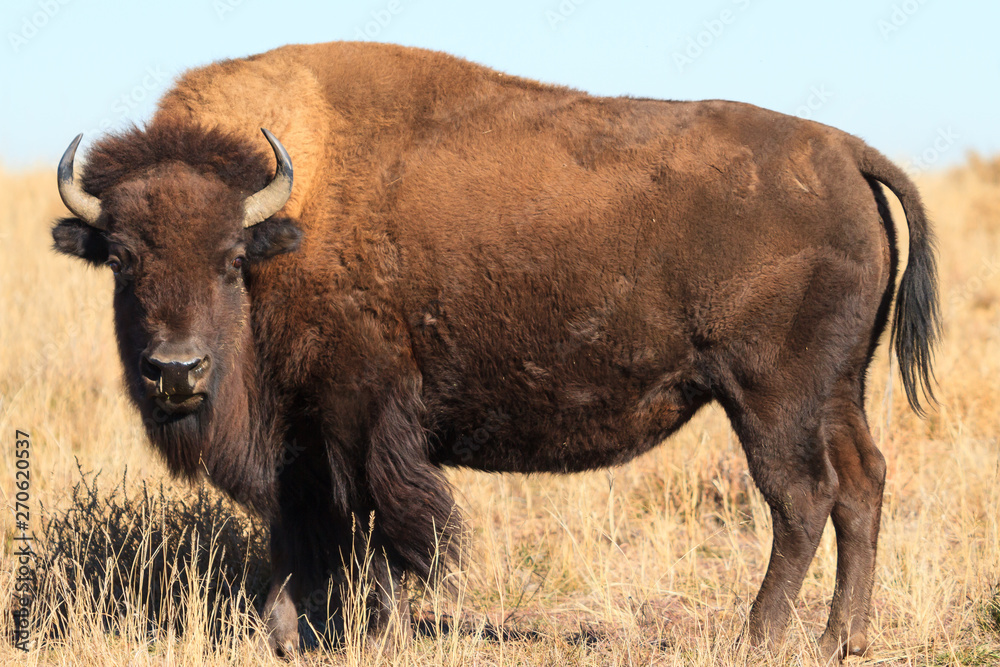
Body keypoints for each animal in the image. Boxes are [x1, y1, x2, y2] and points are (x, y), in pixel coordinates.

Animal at [50, 43, 940, 664]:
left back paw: (757, 637)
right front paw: (288, 630)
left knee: (801, 499)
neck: (291, 221)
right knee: (862, 484)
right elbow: (305, 534)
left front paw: (372, 631)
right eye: (121, 258)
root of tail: (845, 151)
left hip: (770, 398)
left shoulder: (358, 424)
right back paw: (843, 639)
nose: (176, 370)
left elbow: (383, 526)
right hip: (838, 391)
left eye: (231, 257)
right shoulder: (303, 442)